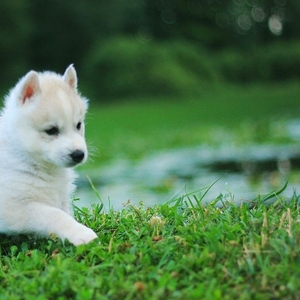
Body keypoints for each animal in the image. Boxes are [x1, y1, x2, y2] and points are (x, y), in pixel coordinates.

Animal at [0, 65, 97, 246]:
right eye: (51, 130)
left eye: (78, 125)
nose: (79, 154)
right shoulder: (12, 207)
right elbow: (52, 214)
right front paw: (81, 233)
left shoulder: (61, 197)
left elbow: (64, 212)